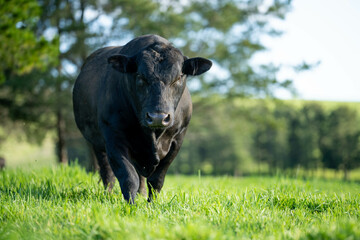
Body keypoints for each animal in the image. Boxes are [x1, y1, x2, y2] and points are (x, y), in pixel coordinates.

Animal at [73, 34, 212, 202]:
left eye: (178, 77)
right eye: (140, 76)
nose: (158, 117)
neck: (154, 136)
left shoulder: (178, 139)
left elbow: (156, 179)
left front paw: (152, 203)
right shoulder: (113, 136)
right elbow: (128, 176)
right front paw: (131, 204)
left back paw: (142, 194)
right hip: (96, 143)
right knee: (107, 173)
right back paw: (110, 194)